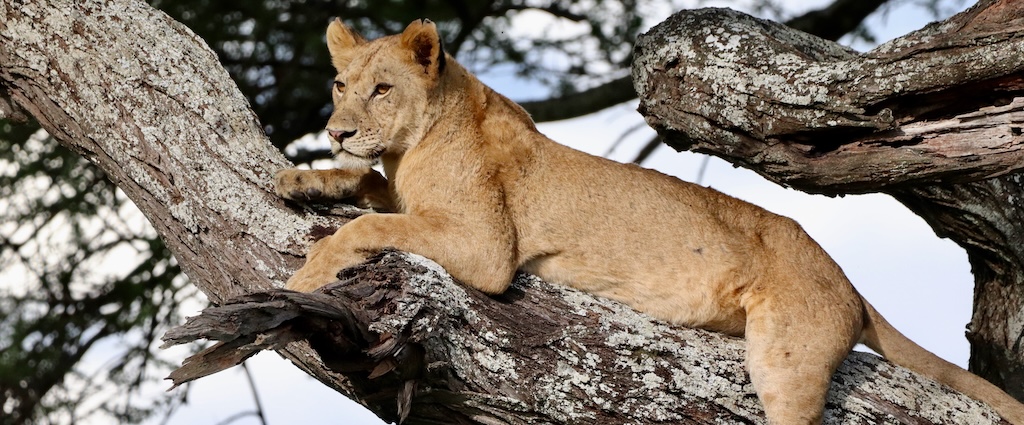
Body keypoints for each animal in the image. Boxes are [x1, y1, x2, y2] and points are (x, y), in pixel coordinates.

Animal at [273, 18, 1024, 424]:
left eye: (382, 89)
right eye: (340, 84)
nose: (337, 130)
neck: (414, 144)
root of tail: (848, 283)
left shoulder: (487, 248)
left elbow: (367, 227)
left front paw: (307, 272)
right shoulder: (404, 192)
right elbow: (368, 188)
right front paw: (301, 177)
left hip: (787, 356)